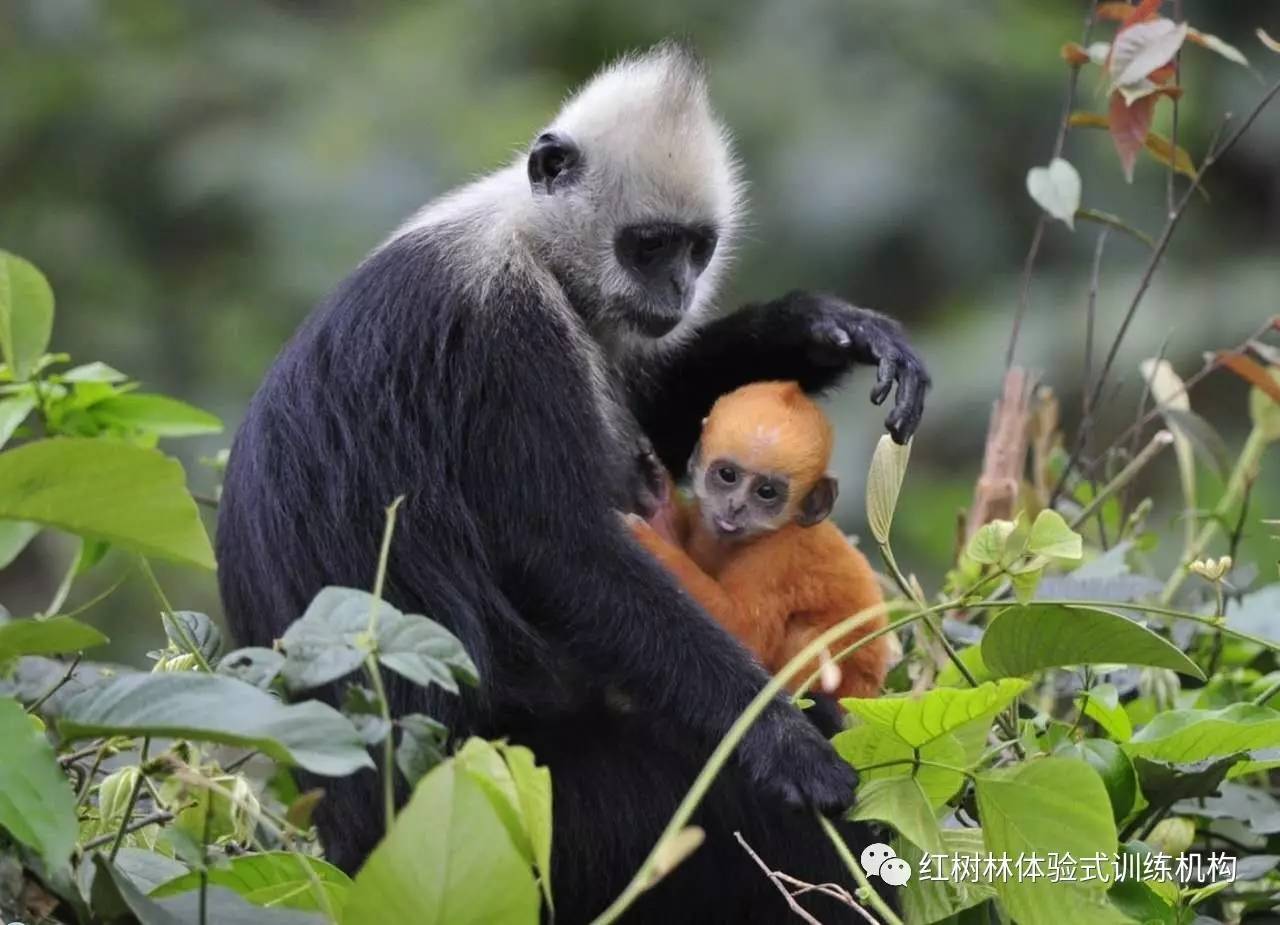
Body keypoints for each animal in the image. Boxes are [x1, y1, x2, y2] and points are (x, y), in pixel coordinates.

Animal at [627, 378, 890, 695]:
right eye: (728, 475)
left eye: (766, 492)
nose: (736, 506)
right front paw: (659, 500)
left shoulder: (779, 556)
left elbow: (746, 632)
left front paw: (651, 541)